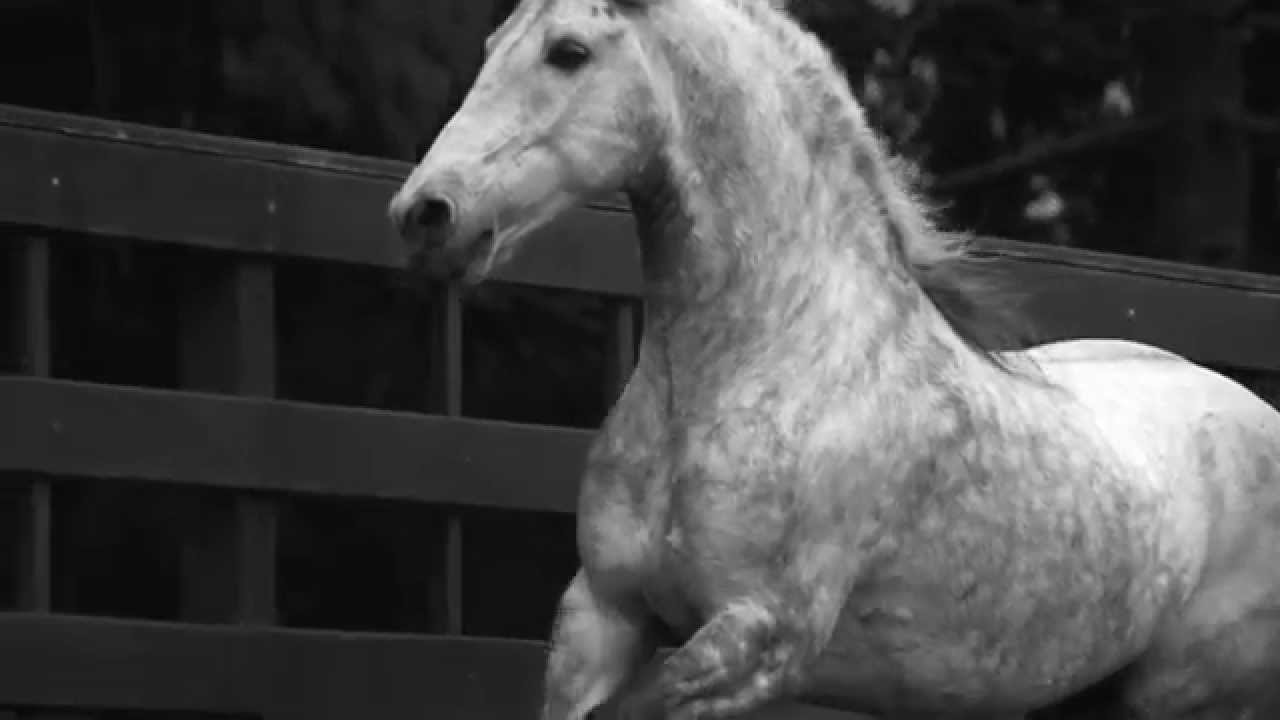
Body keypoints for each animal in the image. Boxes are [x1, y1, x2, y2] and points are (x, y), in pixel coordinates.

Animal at [387, 0, 1280, 717]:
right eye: (494, 42)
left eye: (568, 50)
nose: (426, 213)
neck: (766, 354)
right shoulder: (601, 612)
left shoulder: (759, 638)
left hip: (1183, 696)